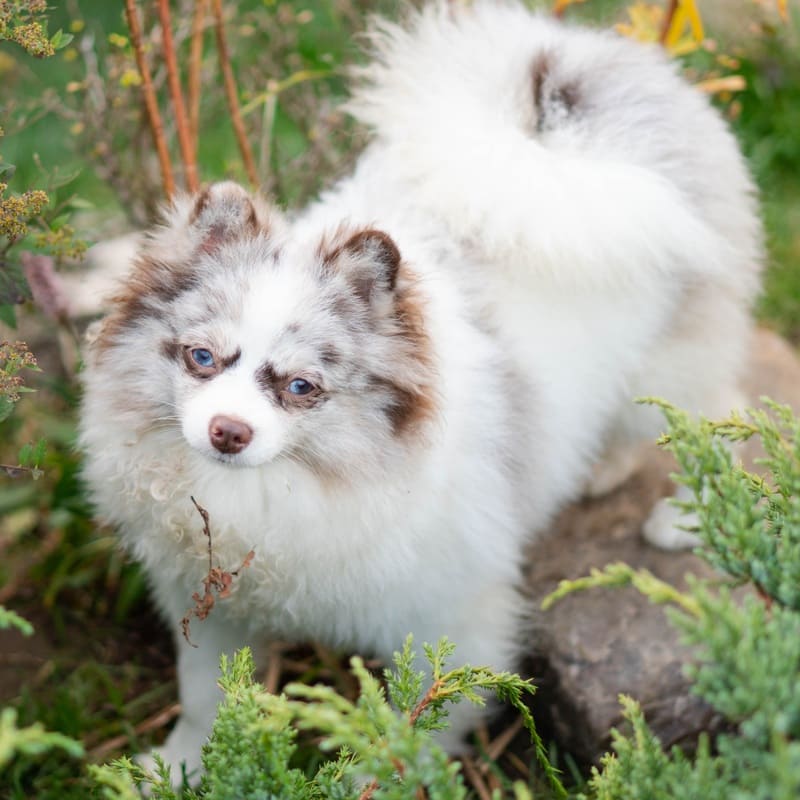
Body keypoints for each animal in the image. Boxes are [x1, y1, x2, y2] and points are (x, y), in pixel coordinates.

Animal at [81, 0, 764, 780]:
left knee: (711, 416)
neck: (286, 489)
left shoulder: (449, 615)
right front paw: (181, 767)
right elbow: (203, 697)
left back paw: (685, 514)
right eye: (201, 357)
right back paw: (601, 470)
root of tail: (580, 86)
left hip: (671, 365)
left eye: (300, 386)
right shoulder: (211, 605)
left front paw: (378, 777)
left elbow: (414, 722)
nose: (228, 431)